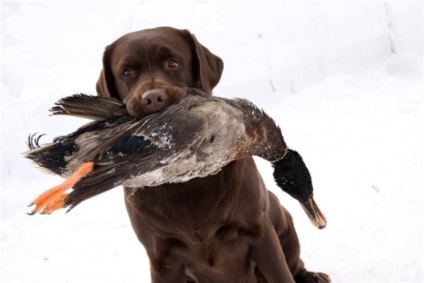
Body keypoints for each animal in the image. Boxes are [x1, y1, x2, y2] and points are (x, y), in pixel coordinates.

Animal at [96, 25, 332, 282]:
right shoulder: (161, 258)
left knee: (295, 264)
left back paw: (312, 275)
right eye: (126, 72)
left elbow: (281, 274)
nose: (153, 98)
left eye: (173, 63)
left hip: (281, 214)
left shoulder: (260, 231)